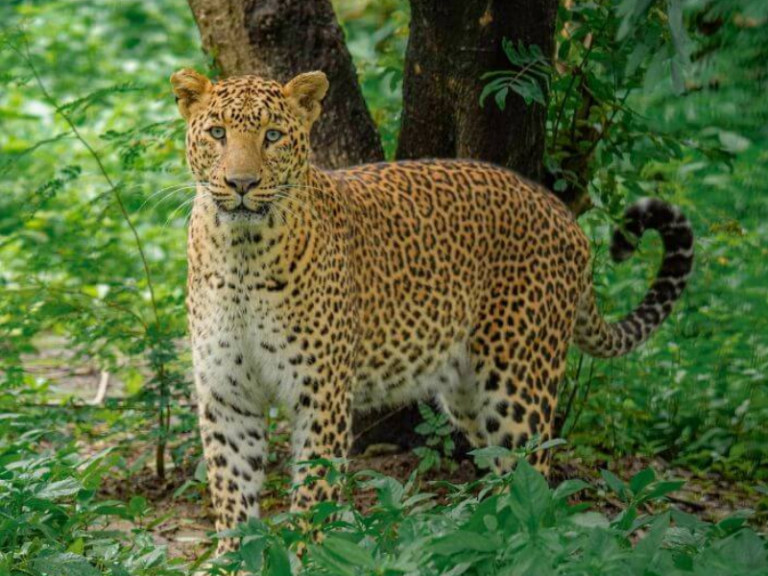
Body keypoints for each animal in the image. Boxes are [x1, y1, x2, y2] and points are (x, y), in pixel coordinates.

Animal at [170, 68, 694, 553]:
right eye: (217, 132)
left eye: (273, 136)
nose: (241, 183)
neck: (242, 253)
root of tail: (563, 214)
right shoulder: (227, 393)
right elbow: (231, 487)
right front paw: (233, 555)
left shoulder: (320, 394)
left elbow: (314, 491)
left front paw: (306, 554)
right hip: (467, 394)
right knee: (505, 475)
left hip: (517, 385)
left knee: (536, 474)